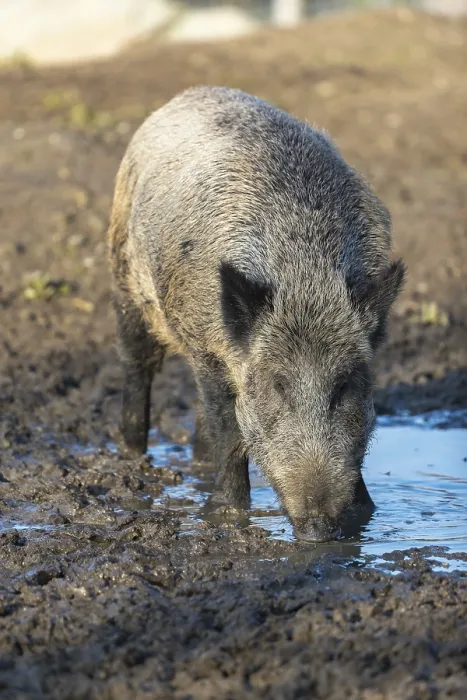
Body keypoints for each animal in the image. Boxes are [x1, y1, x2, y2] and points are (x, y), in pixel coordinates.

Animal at [107, 86, 405, 542]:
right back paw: (132, 456)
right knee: (138, 366)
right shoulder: (205, 346)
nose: (318, 530)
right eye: (278, 385)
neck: (304, 275)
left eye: (343, 386)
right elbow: (229, 427)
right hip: (126, 280)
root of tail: (190, 94)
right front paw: (226, 515)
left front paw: (364, 513)